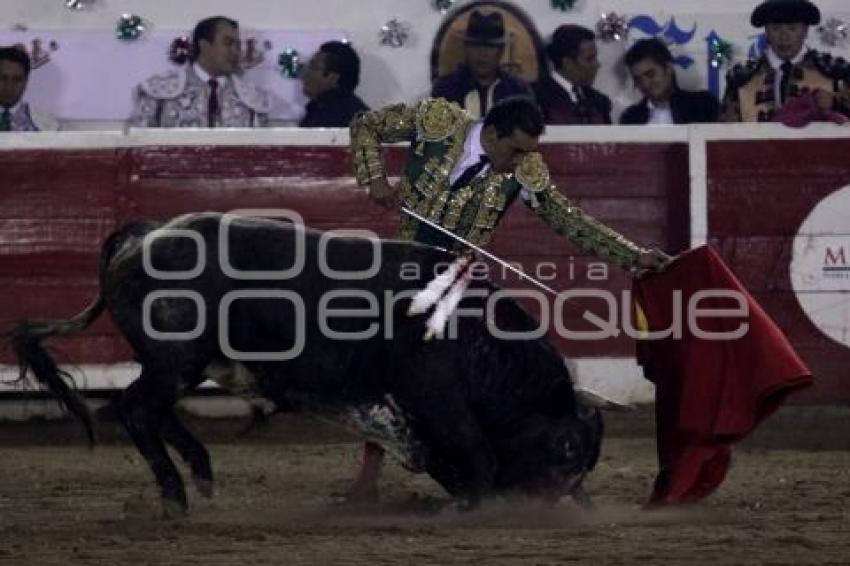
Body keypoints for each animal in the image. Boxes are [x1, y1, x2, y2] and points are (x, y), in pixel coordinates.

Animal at [9, 212, 600, 516]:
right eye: (564, 455)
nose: (552, 508)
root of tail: (142, 235)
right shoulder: (436, 398)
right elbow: (476, 451)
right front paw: (472, 509)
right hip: (175, 360)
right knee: (135, 411)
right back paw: (176, 495)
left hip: (177, 364)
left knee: (152, 411)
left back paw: (200, 475)